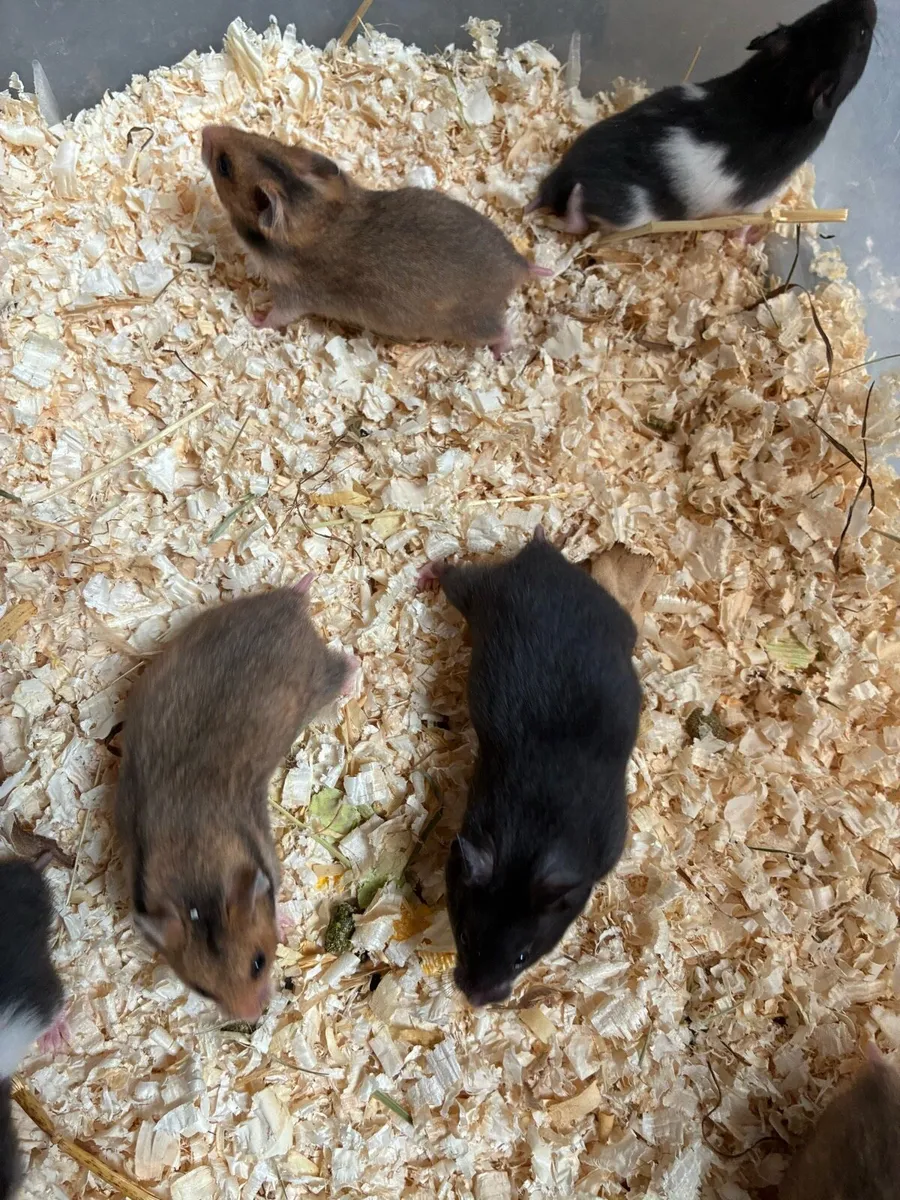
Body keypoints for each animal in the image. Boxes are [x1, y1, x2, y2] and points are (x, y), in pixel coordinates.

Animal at [115, 579, 356, 1022]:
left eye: (259, 962)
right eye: (201, 990)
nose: (252, 1017)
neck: (195, 866)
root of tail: (291, 610)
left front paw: (286, 923)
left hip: (317, 679)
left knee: (344, 668)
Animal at [201, 124, 550, 356]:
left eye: (223, 165)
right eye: (264, 139)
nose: (206, 129)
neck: (318, 216)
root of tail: (515, 270)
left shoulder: (292, 296)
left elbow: (275, 317)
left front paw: (253, 318)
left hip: (473, 325)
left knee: (503, 330)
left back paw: (502, 351)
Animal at [418, 528, 643, 1006]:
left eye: (522, 956)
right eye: (466, 937)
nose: (477, 1001)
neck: (533, 842)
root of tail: (541, 558)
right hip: (483, 593)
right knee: (454, 573)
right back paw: (426, 573)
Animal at [528, 0, 876, 234]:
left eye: (819, 10)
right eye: (863, 35)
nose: (871, 3)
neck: (780, 85)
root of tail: (567, 173)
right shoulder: (761, 198)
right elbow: (746, 226)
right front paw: (752, 236)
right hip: (629, 214)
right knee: (578, 222)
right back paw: (574, 204)